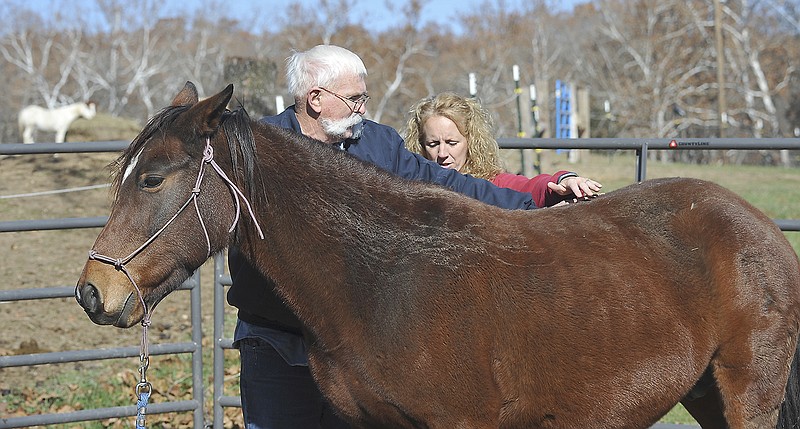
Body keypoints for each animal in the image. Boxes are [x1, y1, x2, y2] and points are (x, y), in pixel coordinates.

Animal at [76, 81, 800, 428]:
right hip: (705, 392)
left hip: (747, 392)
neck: (382, 279)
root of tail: (759, 226)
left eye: (152, 179)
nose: (92, 292)